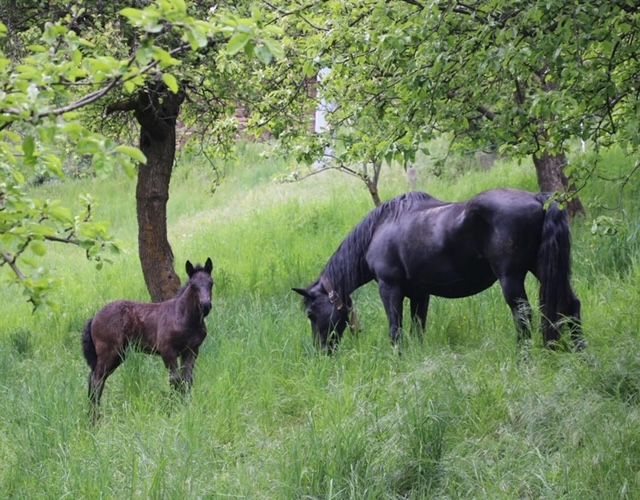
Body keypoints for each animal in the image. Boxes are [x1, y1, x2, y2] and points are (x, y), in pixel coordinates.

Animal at [82, 258, 213, 416]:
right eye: (193, 285)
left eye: (211, 283)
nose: (206, 306)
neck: (184, 317)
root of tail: (94, 318)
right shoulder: (167, 351)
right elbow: (174, 379)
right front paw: (173, 409)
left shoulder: (191, 351)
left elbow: (187, 380)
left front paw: (185, 406)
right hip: (109, 353)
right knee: (96, 379)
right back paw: (95, 417)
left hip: (118, 355)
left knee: (96, 379)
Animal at [293, 189, 585, 353]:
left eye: (310, 314)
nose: (322, 352)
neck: (379, 229)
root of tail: (540, 198)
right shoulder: (420, 294)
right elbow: (417, 329)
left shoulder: (390, 289)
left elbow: (396, 330)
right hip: (543, 270)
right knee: (570, 305)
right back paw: (580, 353)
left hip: (511, 278)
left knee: (523, 315)